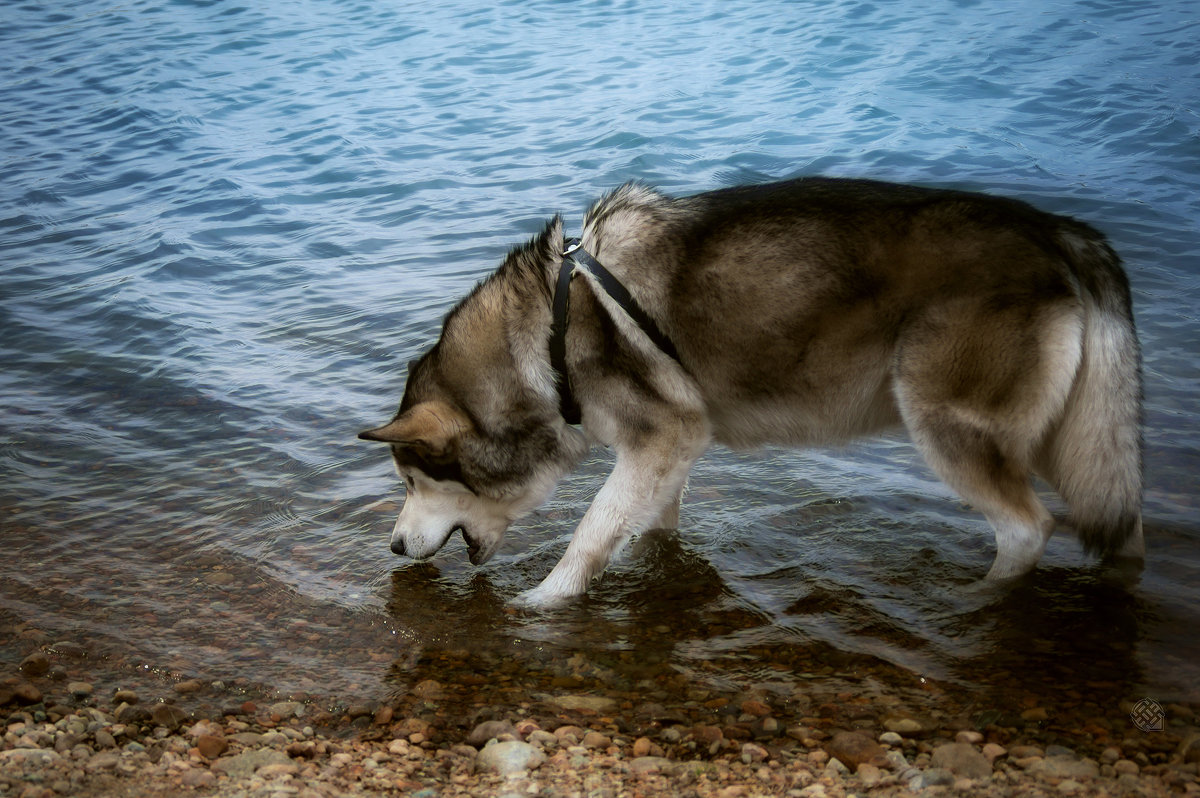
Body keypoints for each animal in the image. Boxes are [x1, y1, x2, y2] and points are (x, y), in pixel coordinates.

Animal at [357, 177, 1142, 607]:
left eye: (414, 479)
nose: (391, 548)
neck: (549, 338)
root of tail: (1061, 233)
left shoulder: (660, 440)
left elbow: (588, 533)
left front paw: (541, 604)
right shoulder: (669, 450)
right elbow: (644, 525)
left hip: (949, 430)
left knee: (1027, 529)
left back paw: (970, 601)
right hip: (1073, 445)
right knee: (1117, 526)